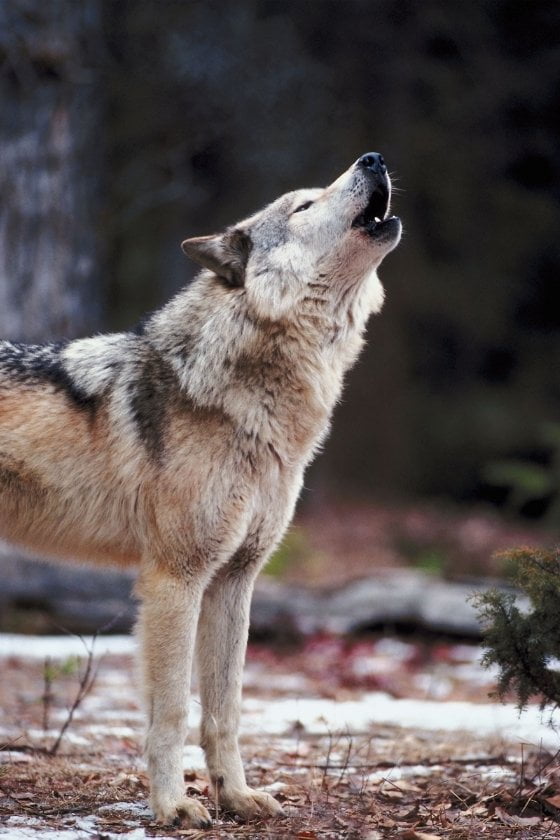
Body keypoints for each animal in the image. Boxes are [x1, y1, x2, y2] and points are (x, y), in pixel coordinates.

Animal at [0, 153, 401, 827]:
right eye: (303, 204)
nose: (373, 159)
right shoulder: (175, 579)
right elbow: (170, 712)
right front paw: (172, 806)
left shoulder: (235, 581)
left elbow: (225, 710)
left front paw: (235, 797)